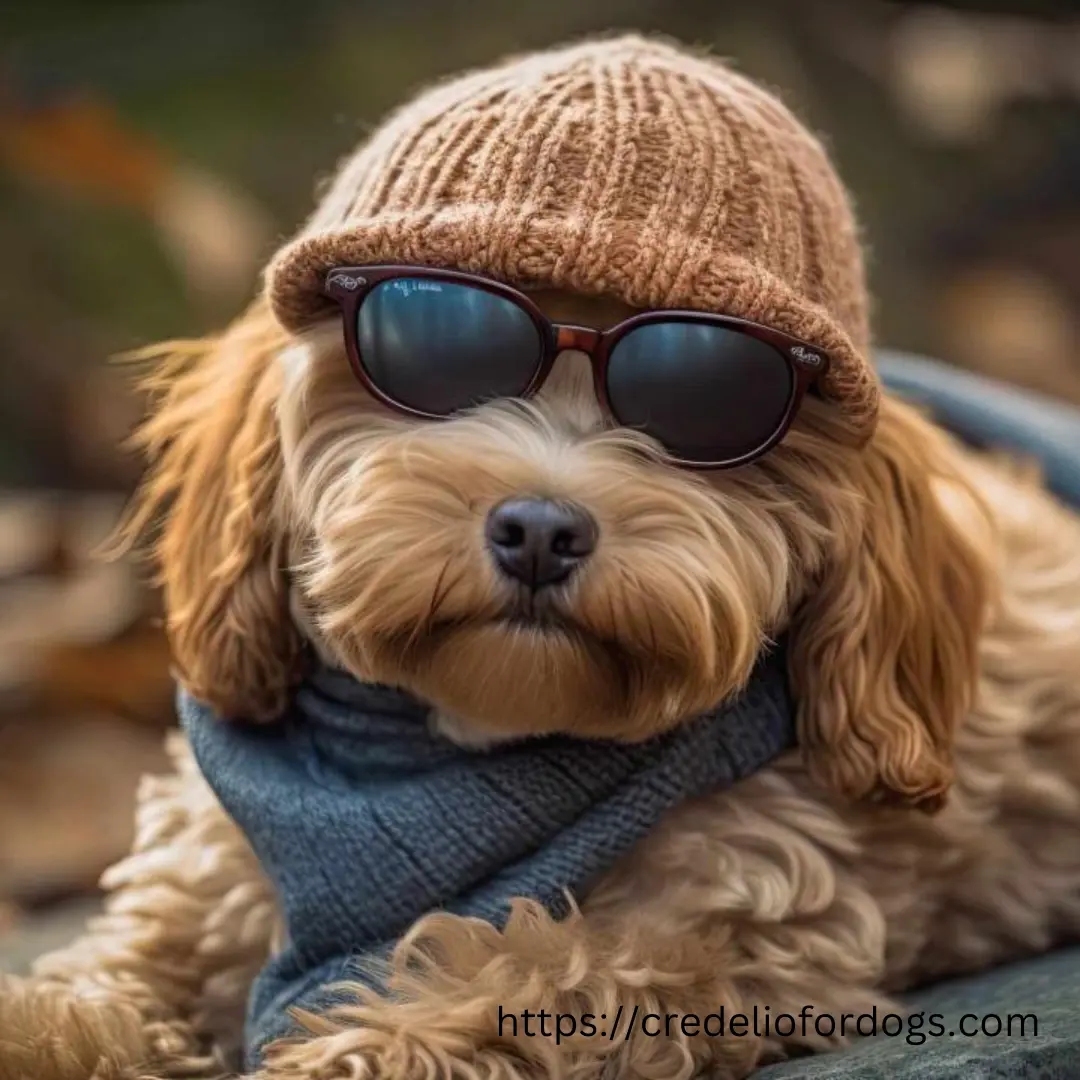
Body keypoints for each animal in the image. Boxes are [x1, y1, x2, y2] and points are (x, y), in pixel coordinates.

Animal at [2, 33, 1080, 1080]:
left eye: (702, 396)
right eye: (439, 347)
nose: (539, 530)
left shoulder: (748, 909)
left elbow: (549, 964)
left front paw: (371, 1044)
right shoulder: (209, 871)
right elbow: (133, 960)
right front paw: (51, 1027)